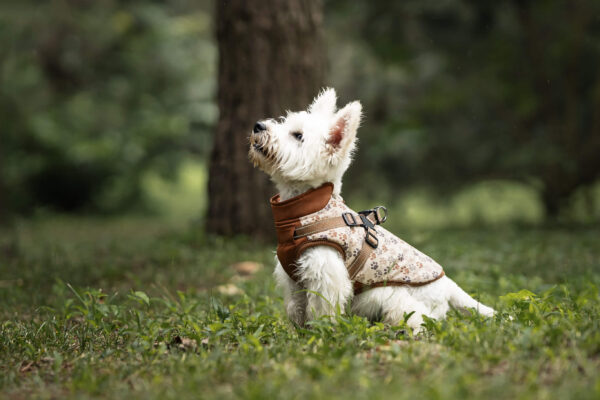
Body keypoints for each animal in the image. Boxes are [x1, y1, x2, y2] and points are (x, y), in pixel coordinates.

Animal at [247, 89, 492, 332]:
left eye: (298, 135)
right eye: (283, 121)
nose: (258, 125)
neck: (307, 207)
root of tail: (449, 286)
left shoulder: (325, 273)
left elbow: (321, 308)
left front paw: (321, 331)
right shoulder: (292, 276)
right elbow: (295, 307)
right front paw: (298, 331)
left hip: (387, 296)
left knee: (419, 318)